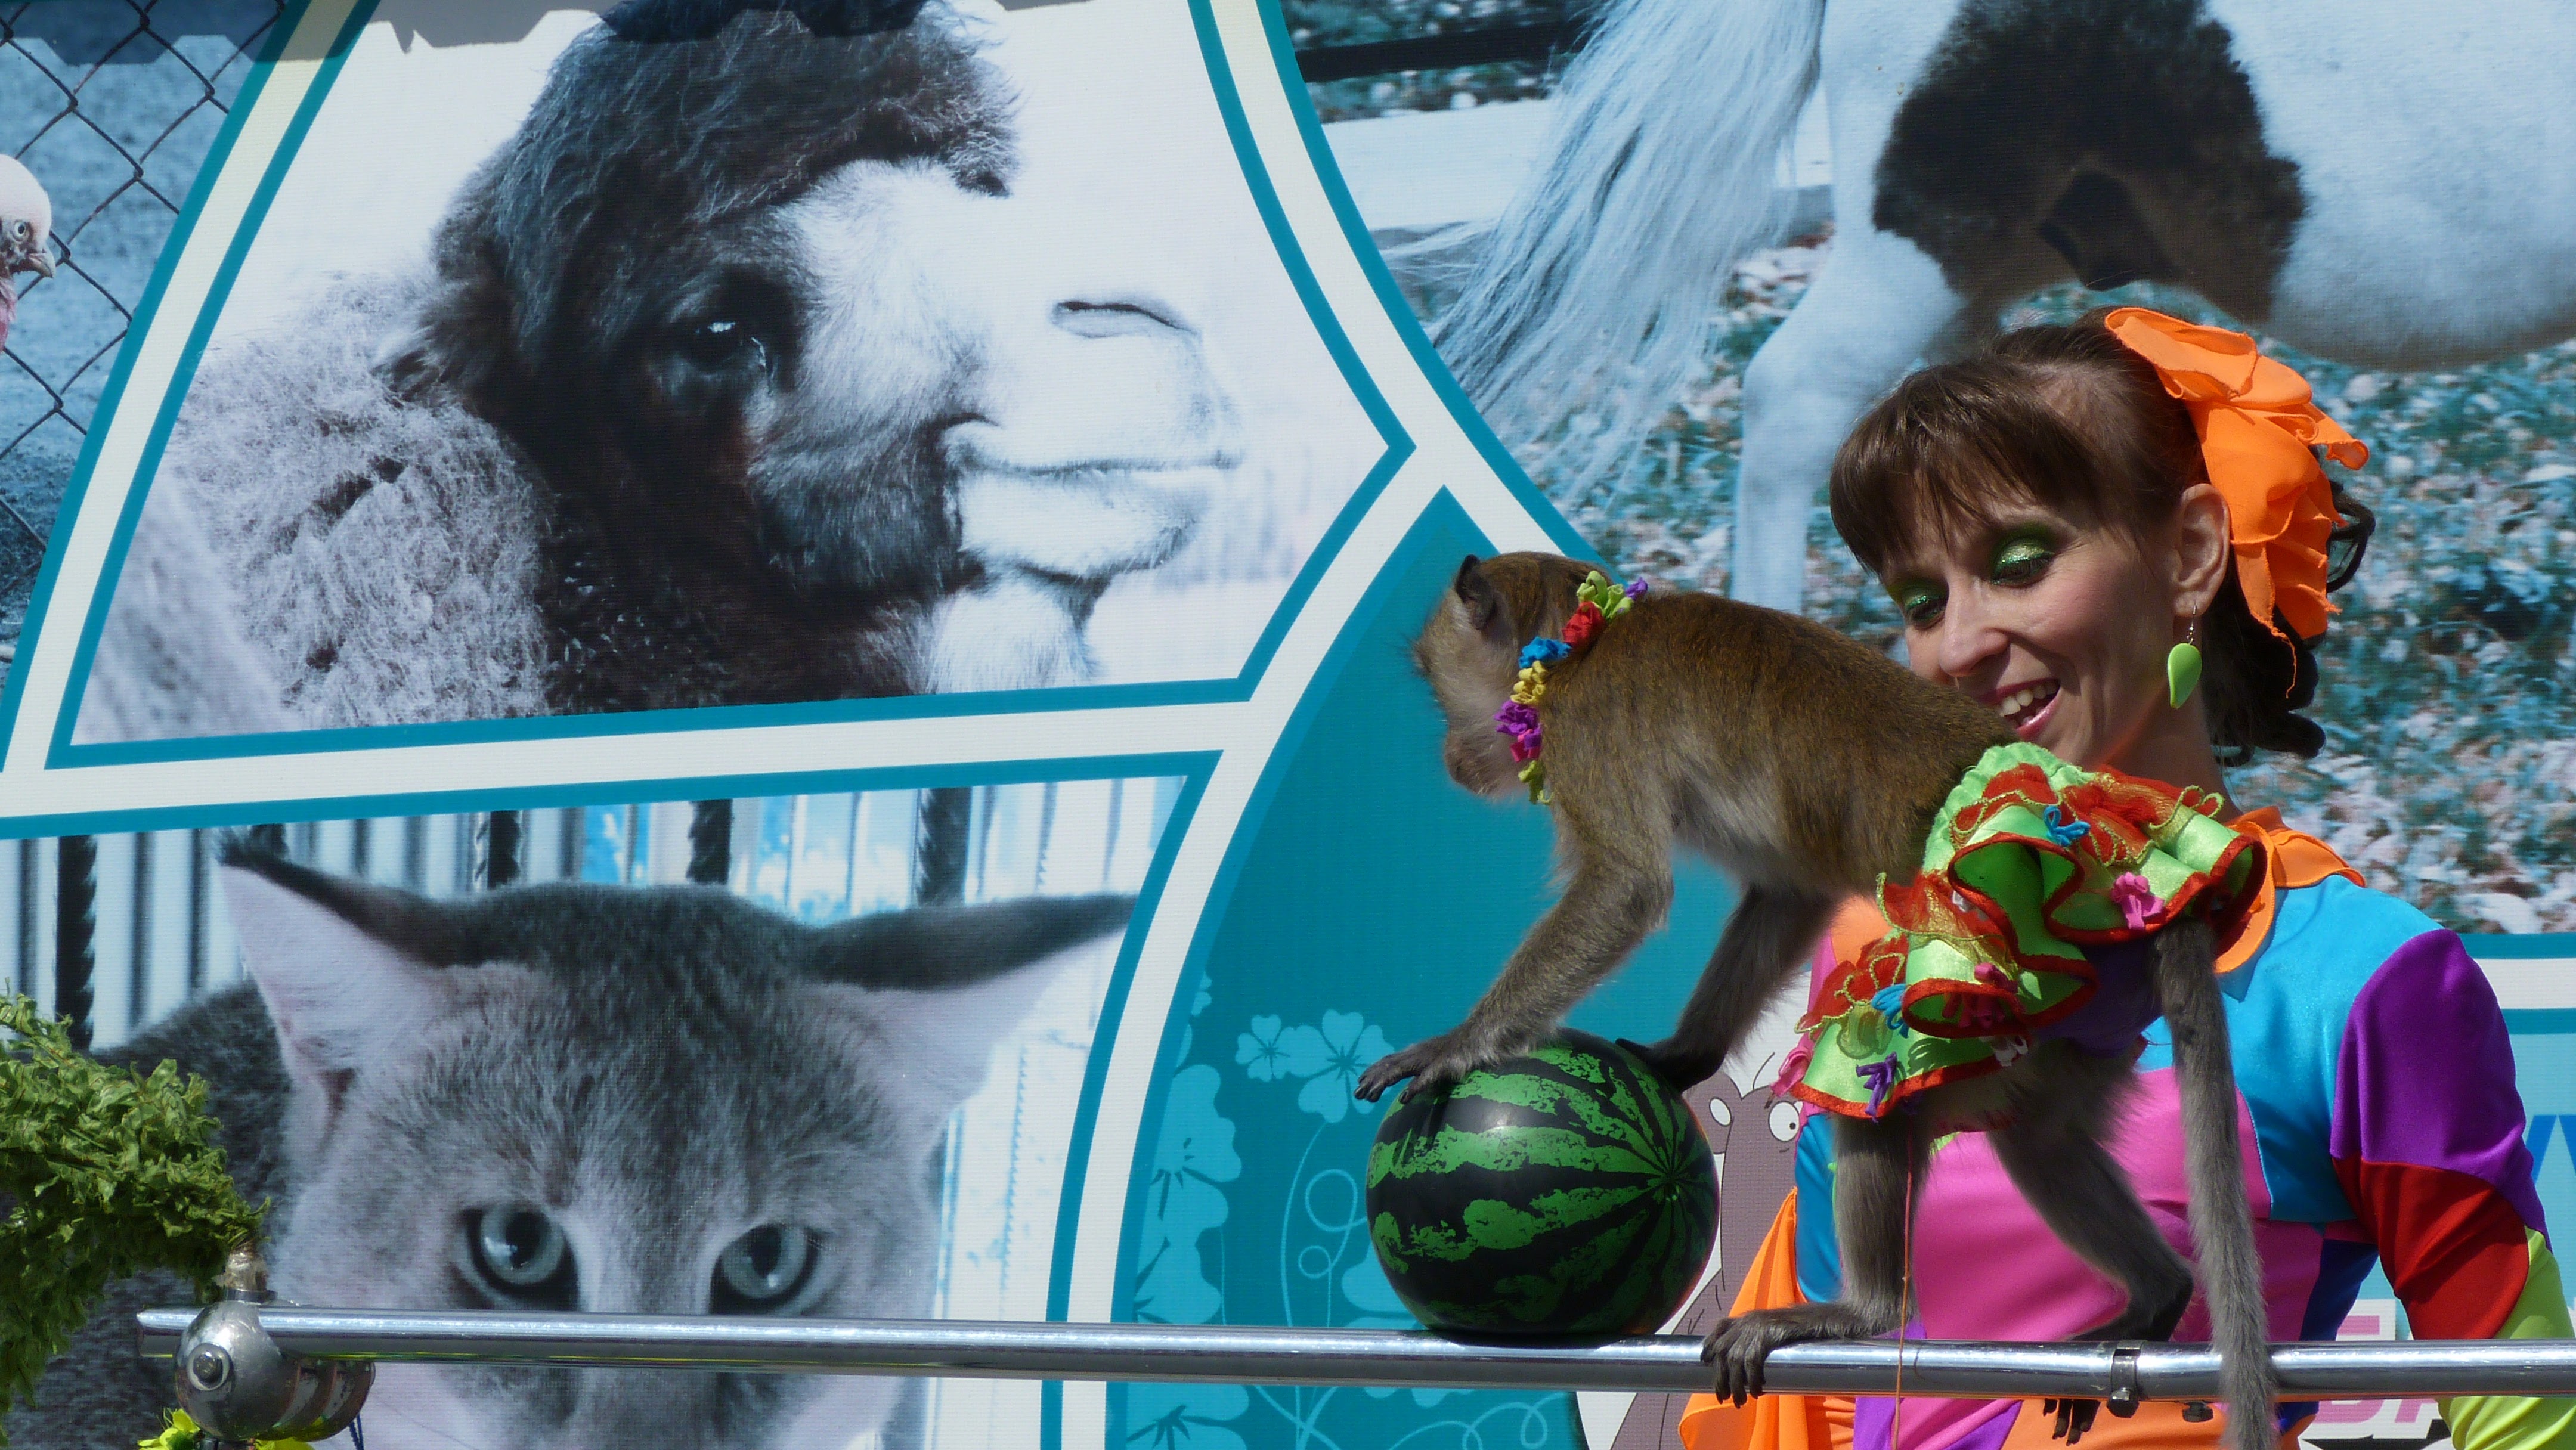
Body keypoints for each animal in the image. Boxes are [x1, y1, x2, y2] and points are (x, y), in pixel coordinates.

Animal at [1354, 552, 2278, 1450]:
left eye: (1438, 689)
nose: (1450, 756)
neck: (1579, 637)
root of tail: (2135, 863)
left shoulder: (1590, 729)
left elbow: (1624, 889)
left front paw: (1456, 1044)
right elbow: (1786, 893)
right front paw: (1684, 1057)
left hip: (2017, 970)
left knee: (1879, 1087)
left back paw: (1859, 1312)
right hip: (2083, 1020)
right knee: (2041, 1142)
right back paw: (2157, 1295)